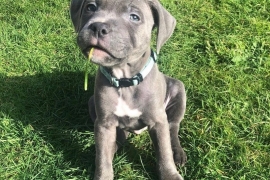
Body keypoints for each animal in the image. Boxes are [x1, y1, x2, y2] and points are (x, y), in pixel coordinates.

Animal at [70, 0, 187, 180]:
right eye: (90, 7)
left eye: (134, 17)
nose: (98, 27)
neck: (125, 80)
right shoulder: (104, 123)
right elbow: (102, 156)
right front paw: (103, 172)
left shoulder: (158, 121)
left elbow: (164, 151)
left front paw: (169, 174)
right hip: (92, 104)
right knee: (118, 138)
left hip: (178, 89)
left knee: (173, 127)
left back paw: (177, 153)